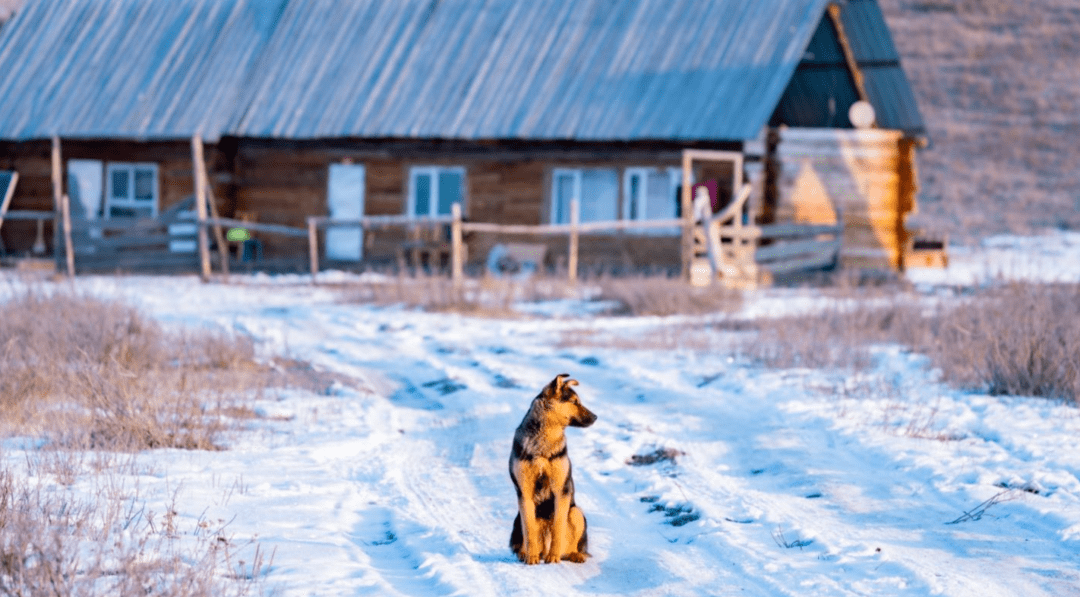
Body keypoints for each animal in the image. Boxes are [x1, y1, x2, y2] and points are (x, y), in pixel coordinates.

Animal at [507, 371, 596, 561]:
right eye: (575, 402)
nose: (595, 417)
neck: (543, 443)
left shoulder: (561, 490)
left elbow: (558, 527)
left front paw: (553, 557)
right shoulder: (524, 491)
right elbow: (529, 529)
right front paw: (531, 558)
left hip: (576, 512)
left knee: (570, 546)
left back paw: (572, 555)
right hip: (517, 520)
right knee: (523, 536)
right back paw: (527, 554)